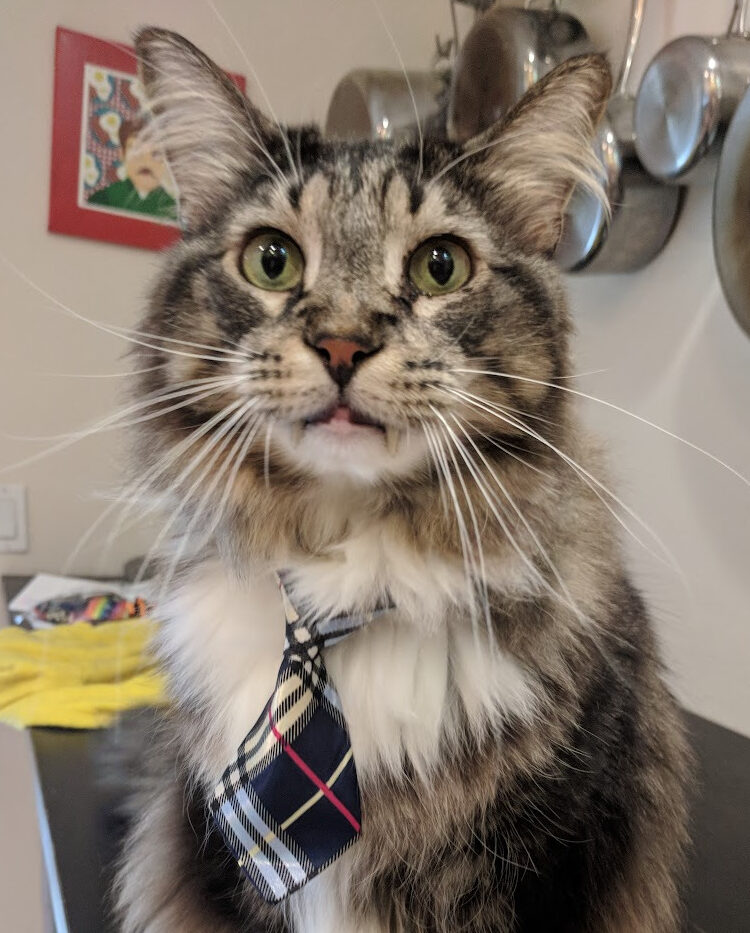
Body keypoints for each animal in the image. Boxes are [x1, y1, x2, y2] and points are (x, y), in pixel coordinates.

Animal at [114, 27, 696, 932]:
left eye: (440, 267)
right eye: (272, 261)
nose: (343, 343)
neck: (341, 595)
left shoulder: (555, 853)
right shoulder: (222, 862)